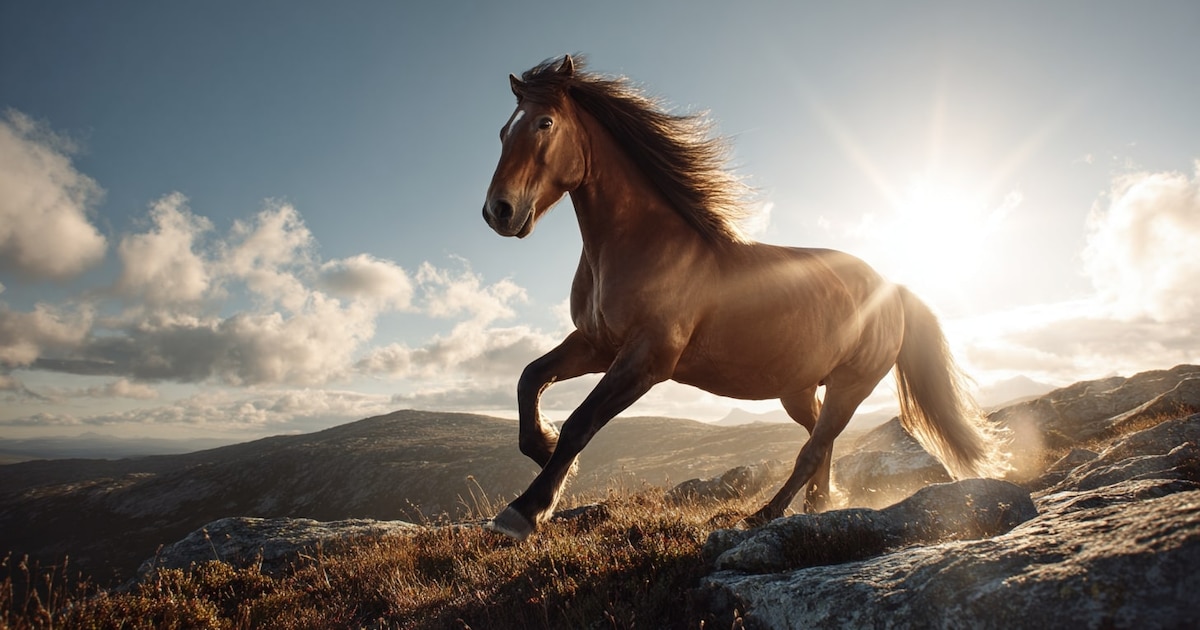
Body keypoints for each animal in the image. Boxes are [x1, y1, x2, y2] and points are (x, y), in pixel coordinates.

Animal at [481, 55, 1008, 540]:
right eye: (504, 130)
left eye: (545, 123)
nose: (498, 211)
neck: (640, 245)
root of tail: (892, 288)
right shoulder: (596, 344)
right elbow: (530, 379)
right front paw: (543, 449)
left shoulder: (648, 358)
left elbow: (581, 421)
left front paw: (524, 511)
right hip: (799, 390)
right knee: (820, 441)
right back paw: (819, 505)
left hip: (851, 385)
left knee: (813, 448)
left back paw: (764, 514)